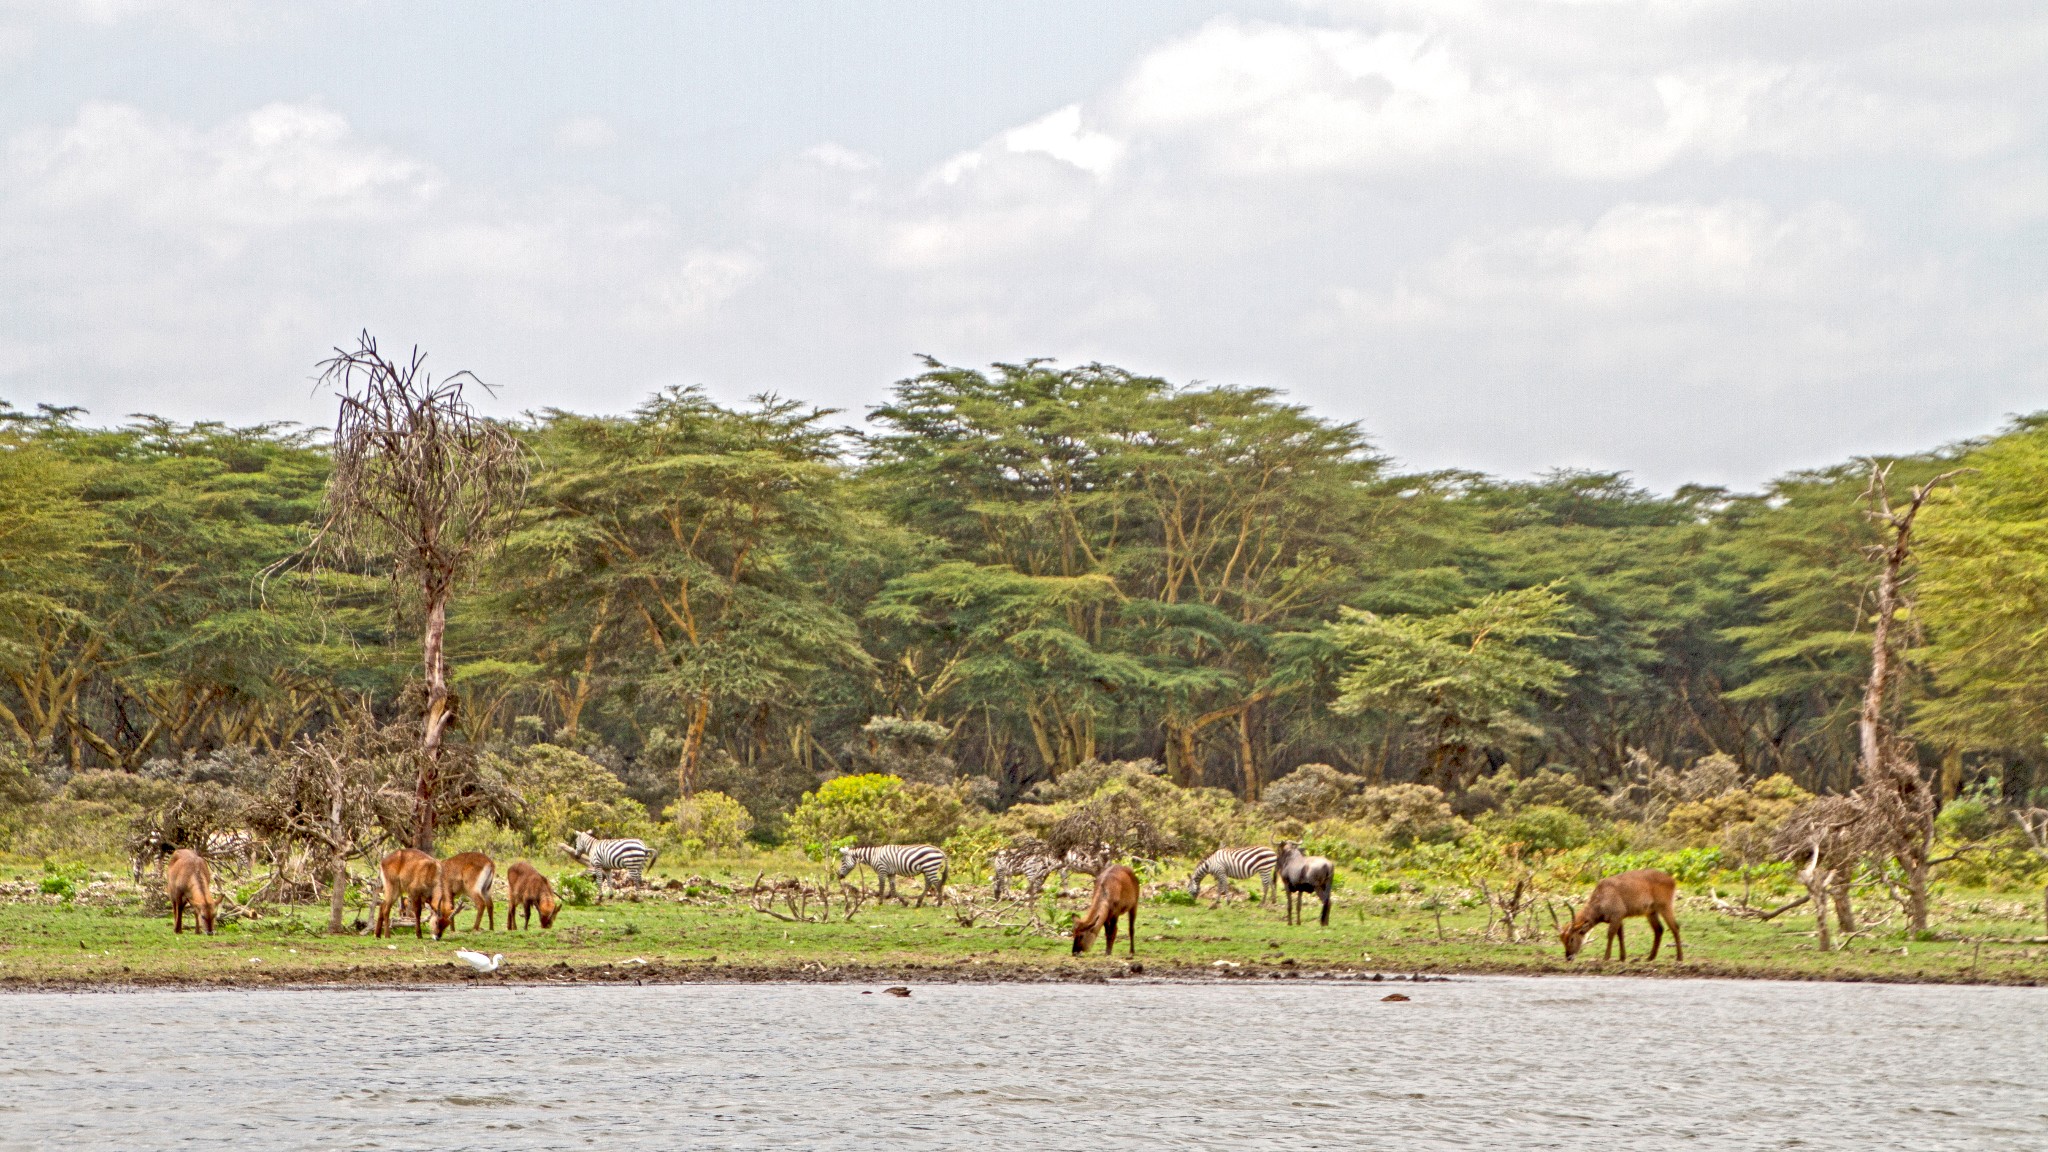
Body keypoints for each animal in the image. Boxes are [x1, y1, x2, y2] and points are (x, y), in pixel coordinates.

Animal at [1556, 865, 1687, 955]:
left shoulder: (1617, 915)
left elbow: (1610, 935)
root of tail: (1672, 880)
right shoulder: (1619, 918)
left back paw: (1679, 958)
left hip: (1665, 907)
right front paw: (1622, 958)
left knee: (1675, 927)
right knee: (1659, 929)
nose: (1568, 957)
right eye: (1562, 940)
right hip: (1651, 912)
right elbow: (1621, 936)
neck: (1601, 895)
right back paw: (1650, 958)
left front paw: (1606, 958)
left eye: (1571, 938)